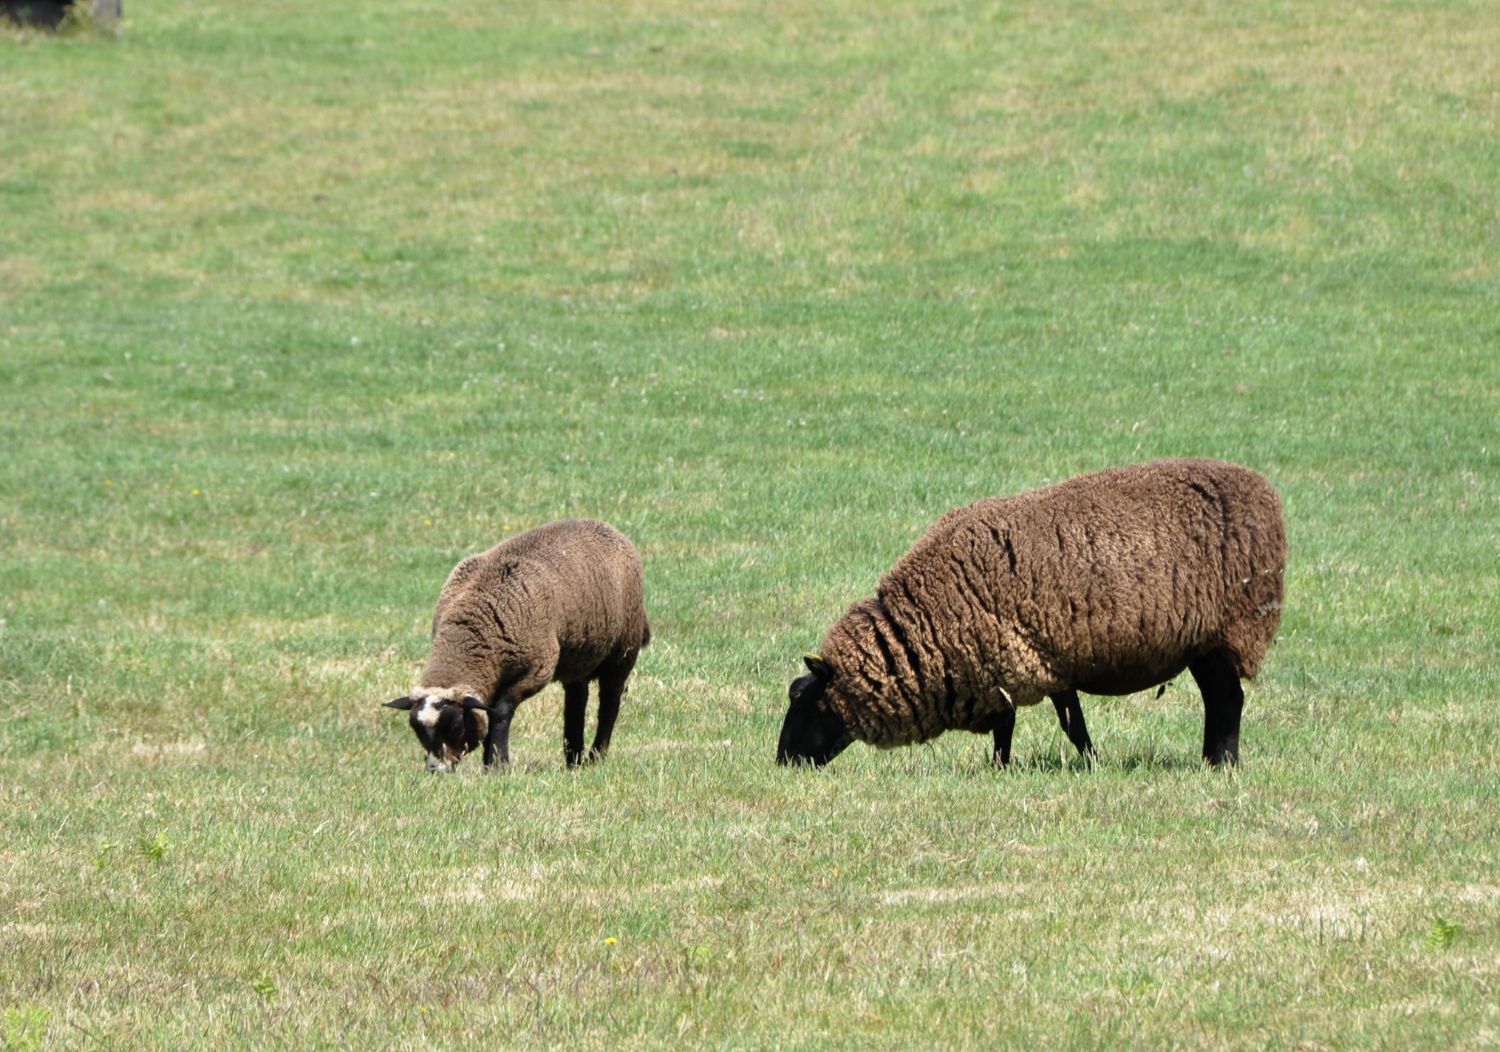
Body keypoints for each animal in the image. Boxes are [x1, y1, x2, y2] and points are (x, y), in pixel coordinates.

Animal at [383, 518, 651, 771]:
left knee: (610, 702)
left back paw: (596, 757)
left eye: (455, 724)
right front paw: (491, 763)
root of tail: (609, 529)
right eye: (416, 729)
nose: (436, 769)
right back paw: (573, 760)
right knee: (576, 700)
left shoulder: (536, 669)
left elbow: (500, 711)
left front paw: (497, 765)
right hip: (579, 655)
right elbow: (490, 711)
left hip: (623, 650)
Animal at [776, 458, 1285, 769]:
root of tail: (1264, 492)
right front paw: (1006, 769)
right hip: (1201, 644)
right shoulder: (1007, 667)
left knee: (1227, 701)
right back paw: (1212, 761)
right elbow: (1017, 727)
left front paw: (1089, 765)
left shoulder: (1028, 662)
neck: (926, 622)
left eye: (810, 703)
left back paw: (1222, 764)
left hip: (1228, 632)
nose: (784, 763)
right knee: (1221, 700)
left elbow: (1065, 728)